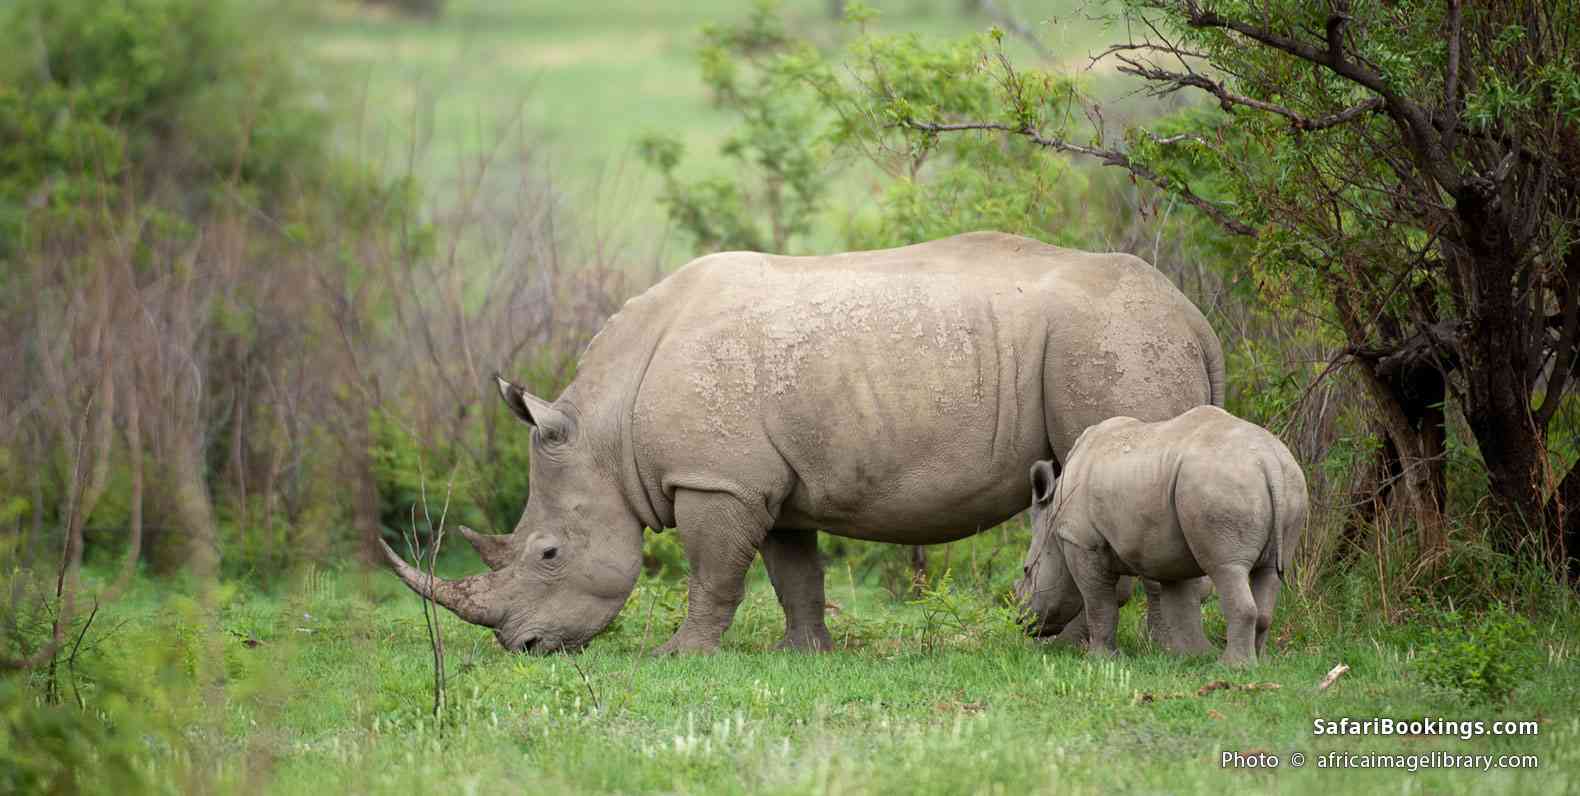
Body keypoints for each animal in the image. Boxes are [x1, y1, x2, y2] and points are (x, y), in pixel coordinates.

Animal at [380, 231, 1225, 654]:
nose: (521, 648)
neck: (605, 430)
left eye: (549, 554)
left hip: (1113, 341)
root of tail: (1195, 318)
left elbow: (713, 576)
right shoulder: (765, 481)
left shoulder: (715, 479)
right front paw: (806, 655)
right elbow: (794, 575)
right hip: (1125, 338)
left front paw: (680, 656)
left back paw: (1143, 656)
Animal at [1014, 406, 1308, 665]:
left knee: (1227, 568)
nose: (1021, 621)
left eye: (1027, 570)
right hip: (1286, 482)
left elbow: (1099, 603)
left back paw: (1233, 667)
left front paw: (1100, 661)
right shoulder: (1169, 552)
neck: (1053, 524)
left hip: (1221, 483)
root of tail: (1268, 460)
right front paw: (1189, 657)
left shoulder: (1080, 541)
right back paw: (1261, 663)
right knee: (1270, 572)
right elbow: (1179, 603)